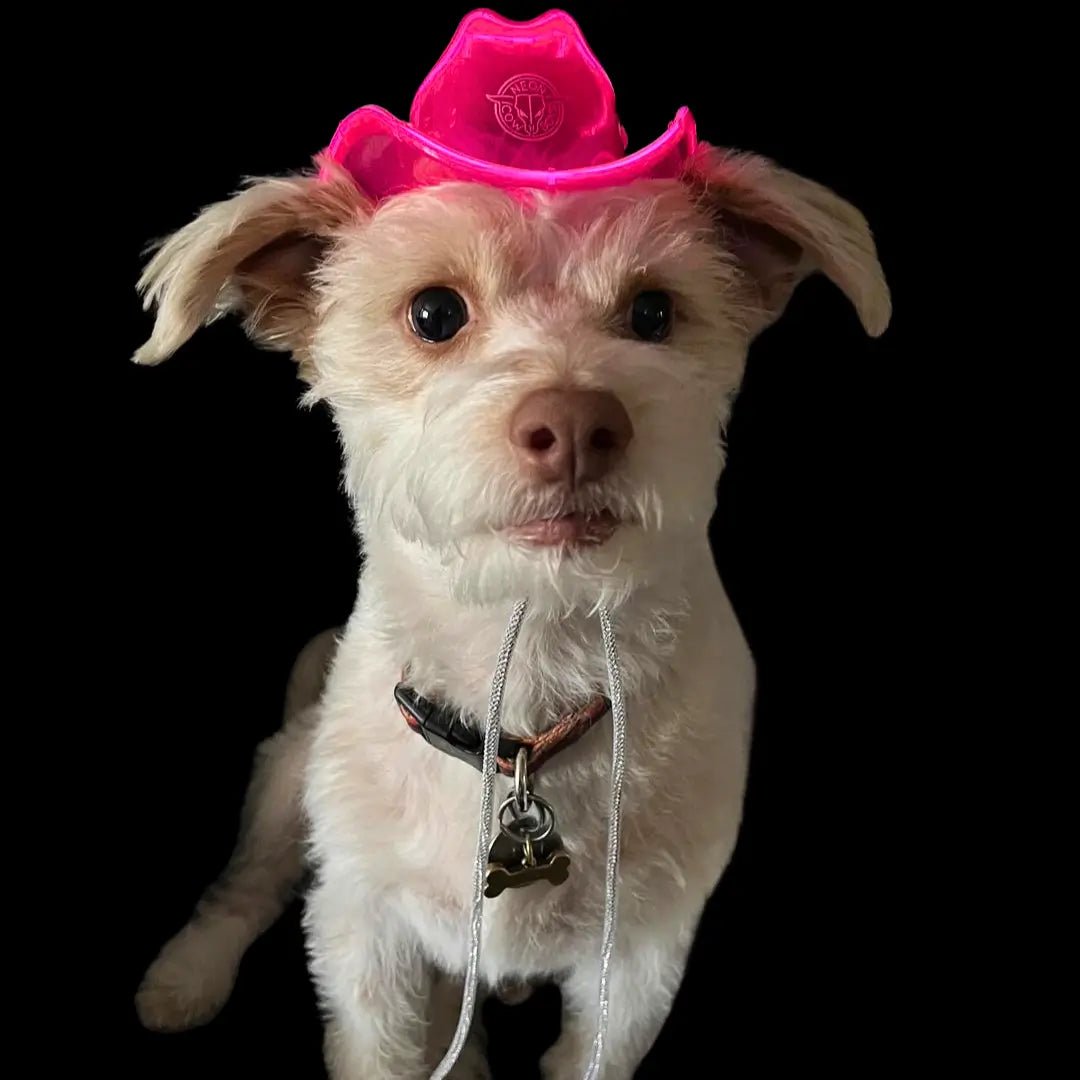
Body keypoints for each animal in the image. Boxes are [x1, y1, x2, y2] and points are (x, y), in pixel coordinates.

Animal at [128, 10, 885, 1080]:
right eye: (434, 312)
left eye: (654, 311)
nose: (576, 423)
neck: (529, 687)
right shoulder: (366, 940)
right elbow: (379, 1042)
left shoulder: (641, 958)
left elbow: (596, 1050)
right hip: (287, 785)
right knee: (245, 888)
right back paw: (186, 976)